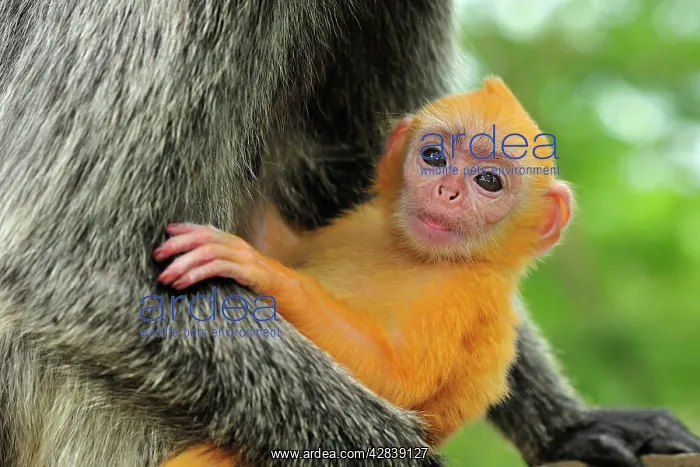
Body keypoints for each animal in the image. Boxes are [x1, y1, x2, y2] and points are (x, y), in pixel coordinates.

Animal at [155, 77, 573, 453]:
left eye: (488, 181)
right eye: (434, 157)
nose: (447, 191)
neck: (411, 253)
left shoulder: (467, 293)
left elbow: (393, 379)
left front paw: (260, 268)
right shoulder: (361, 224)